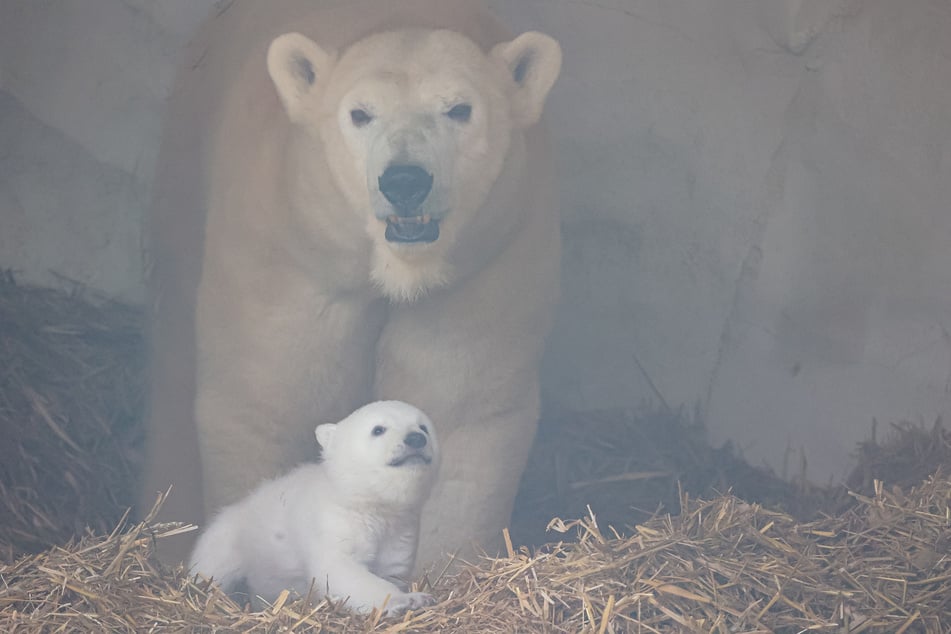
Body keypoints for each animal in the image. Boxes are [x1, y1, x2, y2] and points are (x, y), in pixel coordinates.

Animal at [140, 0, 556, 568]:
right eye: (360, 114)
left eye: (458, 109)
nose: (405, 181)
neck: (397, 272)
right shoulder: (289, 254)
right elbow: (265, 400)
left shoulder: (482, 265)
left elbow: (459, 406)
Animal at [189, 400, 438, 612]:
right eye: (378, 429)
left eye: (423, 427)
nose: (416, 438)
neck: (368, 504)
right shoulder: (334, 522)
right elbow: (340, 569)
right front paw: (409, 599)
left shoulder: (400, 531)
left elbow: (391, 569)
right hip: (230, 538)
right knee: (213, 563)